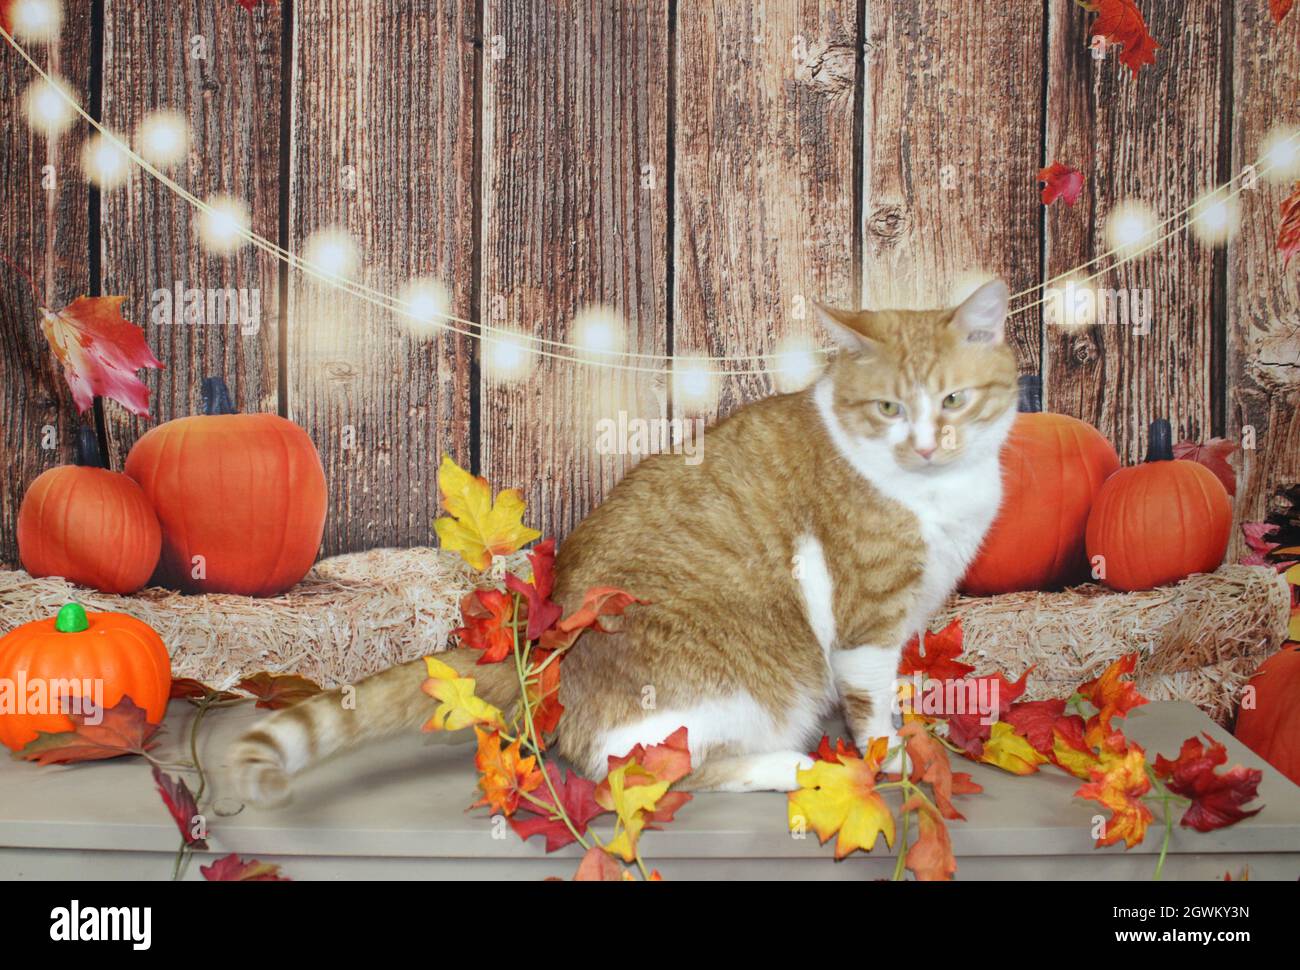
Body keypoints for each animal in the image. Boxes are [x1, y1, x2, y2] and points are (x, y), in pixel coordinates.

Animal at [236, 275, 1024, 795]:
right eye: (890, 408)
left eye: (954, 400)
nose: (925, 445)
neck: (934, 491)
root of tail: (543, 643)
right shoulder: (868, 626)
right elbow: (873, 707)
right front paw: (893, 761)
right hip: (742, 696)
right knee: (655, 768)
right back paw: (797, 767)